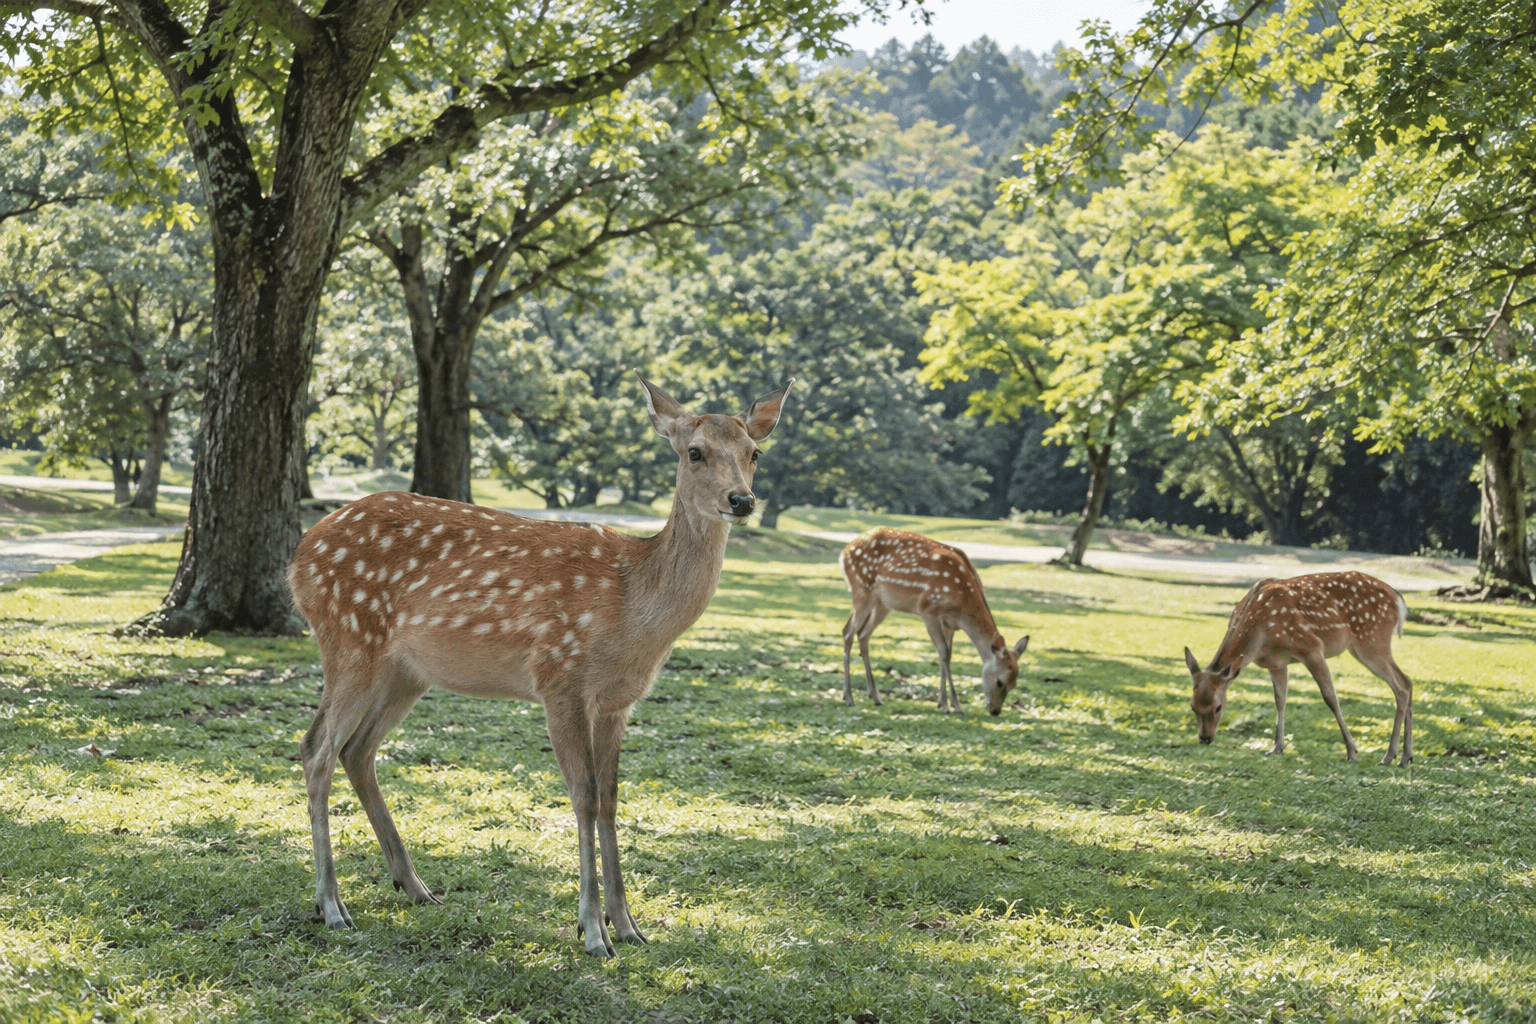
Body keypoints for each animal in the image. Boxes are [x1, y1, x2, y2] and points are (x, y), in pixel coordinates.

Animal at [285, 372, 792, 957]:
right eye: (695, 451)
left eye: (755, 452)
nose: (742, 500)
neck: (632, 609)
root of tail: (298, 558)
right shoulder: (559, 678)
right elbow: (584, 797)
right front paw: (592, 930)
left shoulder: (618, 700)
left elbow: (611, 798)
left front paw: (628, 925)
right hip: (349, 641)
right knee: (316, 748)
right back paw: (331, 905)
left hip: (406, 671)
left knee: (357, 749)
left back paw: (413, 886)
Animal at [840, 528, 1028, 715]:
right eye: (1000, 682)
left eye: (1014, 684)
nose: (995, 711)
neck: (963, 603)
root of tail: (845, 552)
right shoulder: (927, 609)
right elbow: (943, 653)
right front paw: (951, 705)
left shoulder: (950, 624)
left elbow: (946, 655)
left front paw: (942, 702)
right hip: (862, 589)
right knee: (848, 633)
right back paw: (849, 697)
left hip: (882, 604)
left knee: (862, 634)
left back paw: (875, 697)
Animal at [1184, 570, 1414, 766]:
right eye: (1192, 706)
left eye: (1218, 707)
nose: (1205, 738)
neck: (1259, 636)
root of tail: (1399, 600)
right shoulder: (1276, 663)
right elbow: (1280, 700)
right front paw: (1276, 747)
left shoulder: (1311, 648)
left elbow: (1330, 698)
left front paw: (1352, 751)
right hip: (1364, 646)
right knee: (1407, 681)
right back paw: (1406, 757)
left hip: (1371, 641)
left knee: (1401, 686)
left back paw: (1389, 756)